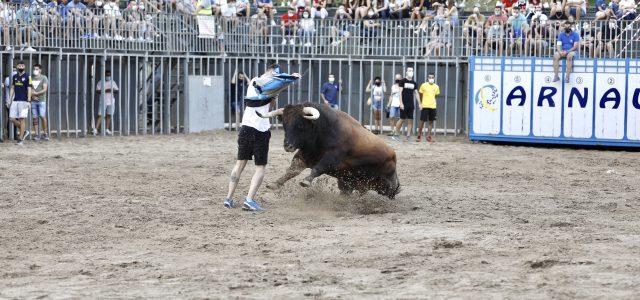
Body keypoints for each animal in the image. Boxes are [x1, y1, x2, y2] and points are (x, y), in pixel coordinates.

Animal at [256, 102, 400, 198]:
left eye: (300, 125)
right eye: (285, 125)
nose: (288, 146)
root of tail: (393, 155)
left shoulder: (332, 157)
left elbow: (318, 168)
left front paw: (306, 181)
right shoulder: (304, 156)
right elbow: (292, 171)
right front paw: (275, 183)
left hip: (388, 185)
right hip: (347, 183)